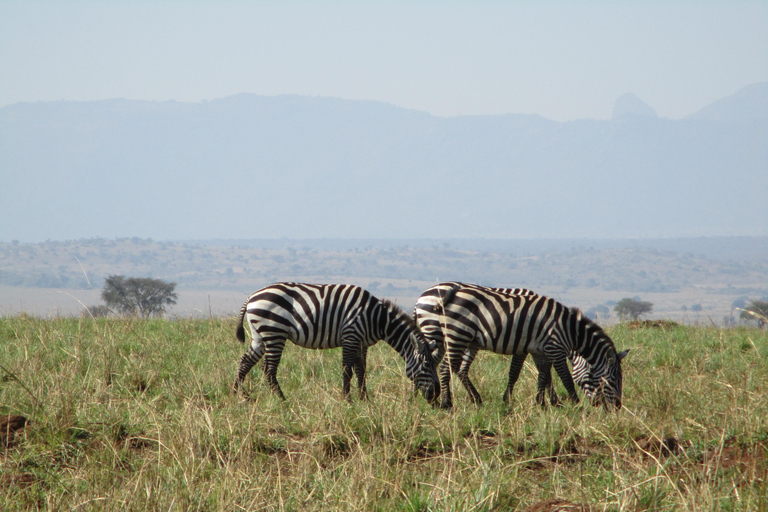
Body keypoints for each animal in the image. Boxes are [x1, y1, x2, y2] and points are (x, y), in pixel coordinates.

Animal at [234, 282, 438, 402]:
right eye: (426, 366)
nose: (436, 397)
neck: (377, 319)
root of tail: (251, 297)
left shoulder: (361, 342)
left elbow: (361, 369)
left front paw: (364, 398)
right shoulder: (351, 335)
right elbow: (347, 370)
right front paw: (347, 399)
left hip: (260, 335)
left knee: (245, 362)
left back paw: (240, 394)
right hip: (274, 331)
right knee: (269, 369)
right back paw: (282, 399)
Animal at [414, 282, 624, 410]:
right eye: (613, 379)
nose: (617, 407)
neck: (568, 330)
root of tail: (423, 296)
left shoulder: (540, 350)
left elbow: (544, 376)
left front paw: (544, 403)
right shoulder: (548, 347)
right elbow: (561, 377)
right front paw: (574, 403)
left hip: (451, 338)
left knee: (440, 365)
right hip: (452, 334)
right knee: (443, 367)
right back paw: (446, 402)